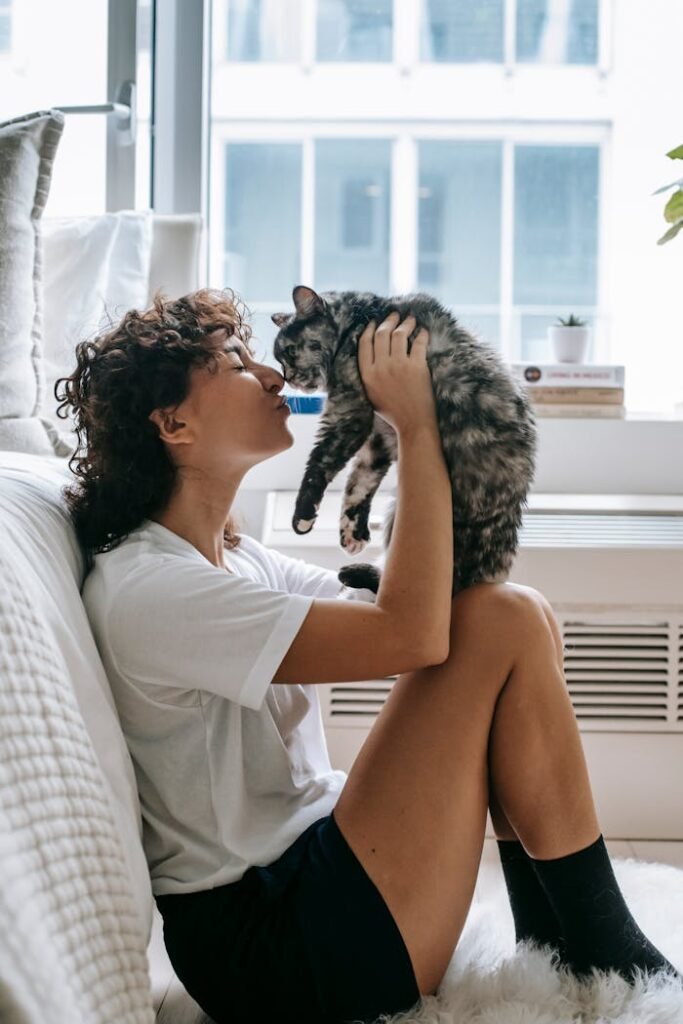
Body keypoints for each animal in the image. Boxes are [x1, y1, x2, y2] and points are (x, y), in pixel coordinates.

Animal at [270, 284, 536, 598]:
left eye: (289, 351)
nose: (287, 378)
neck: (358, 320)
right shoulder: (378, 438)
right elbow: (360, 484)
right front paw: (352, 533)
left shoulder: (350, 414)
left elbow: (320, 464)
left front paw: (303, 516)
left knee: (449, 583)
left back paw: (357, 574)